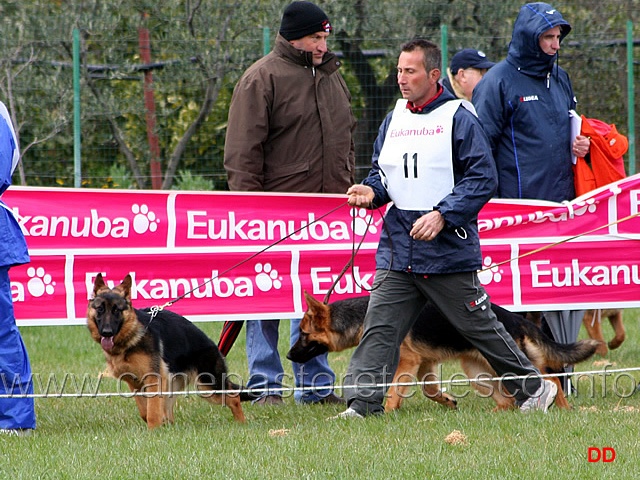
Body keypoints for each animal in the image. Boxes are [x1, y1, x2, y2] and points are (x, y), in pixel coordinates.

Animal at [89, 276, 248, 430]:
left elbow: (152, 411)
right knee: (168, 413)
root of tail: (213, 345)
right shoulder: (133, 382)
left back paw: (241, 423)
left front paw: (153, 431)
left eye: (117, 310)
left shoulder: (153, 379)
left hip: (208, 386)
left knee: (234, 398)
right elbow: (144, 411)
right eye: (100, 309)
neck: (131, 337)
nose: (107, 332)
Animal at [290, 292, 600, 412]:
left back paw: (561, 407)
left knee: (551, 379)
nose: (290, 356)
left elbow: (394, 389)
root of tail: (517, 319)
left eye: (303, 335)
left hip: (502, 365)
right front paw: (447, 401)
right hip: (478, 373)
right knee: (509, 398)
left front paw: (388, 411)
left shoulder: (408, 362)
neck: (362, 315)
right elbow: (429, 390)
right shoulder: (425, 363)